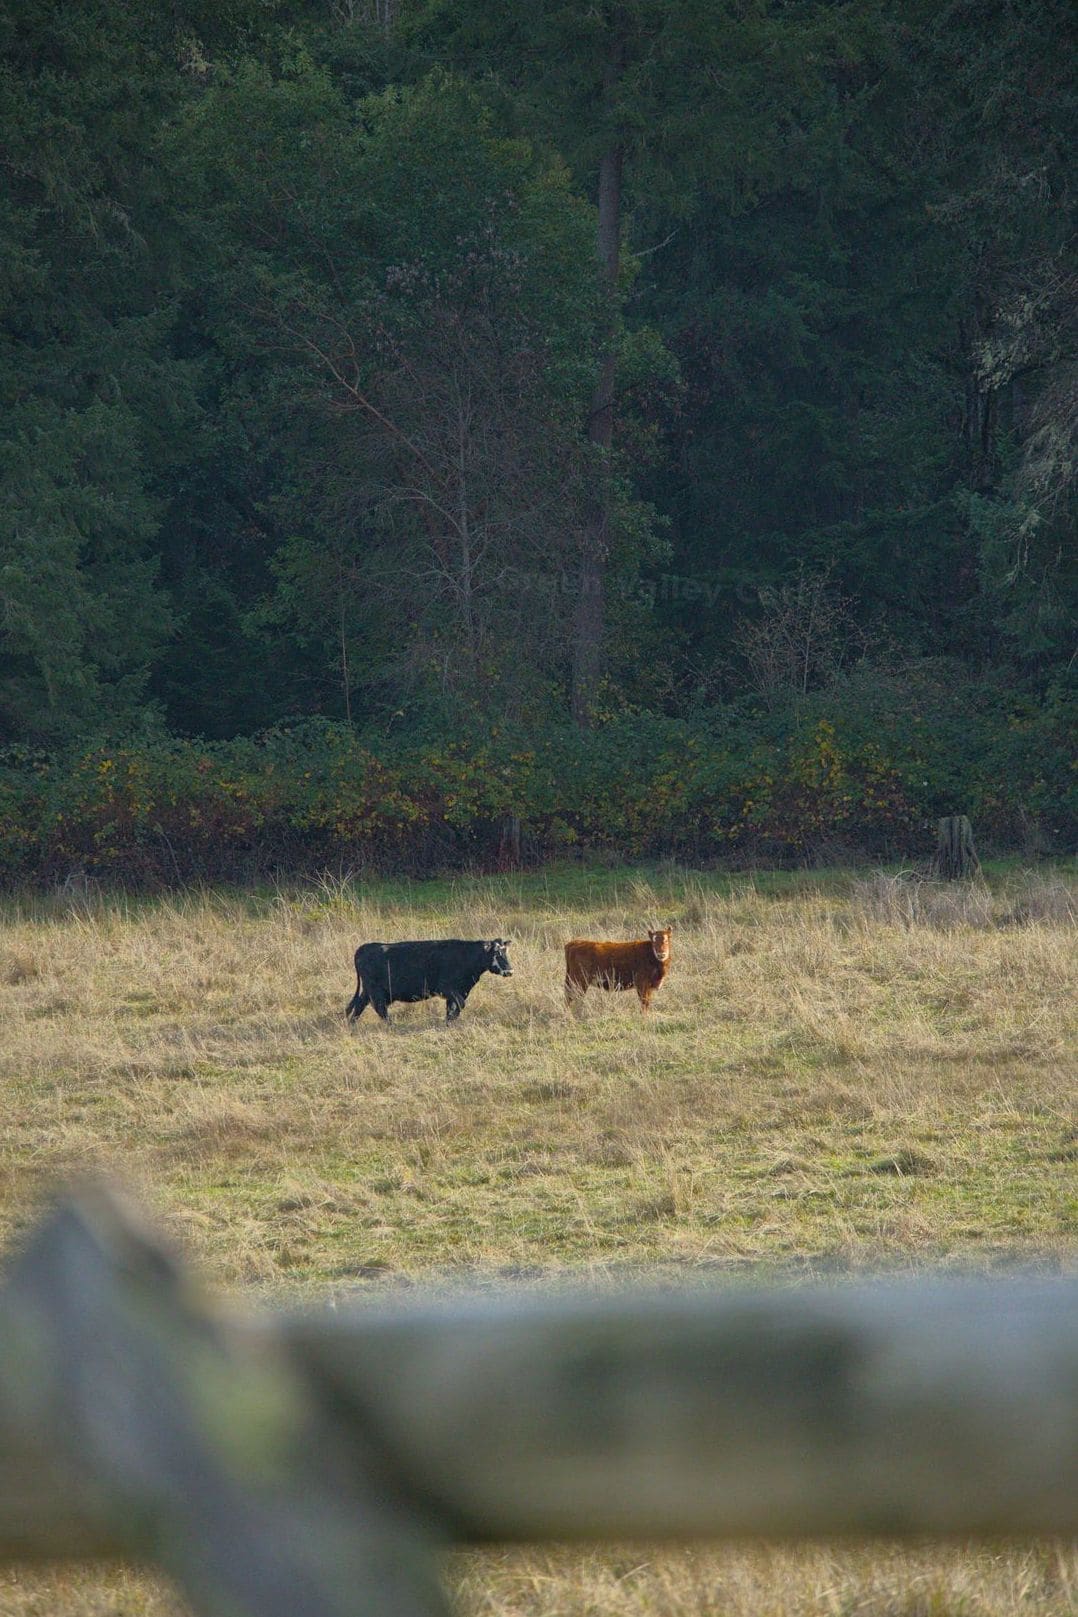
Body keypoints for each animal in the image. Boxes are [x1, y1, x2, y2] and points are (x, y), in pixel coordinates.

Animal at [346, 938, 513, 1024]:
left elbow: (452, 1008)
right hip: (376, 991)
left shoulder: (459, 991)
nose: (510, 971)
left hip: (368, 991)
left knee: (359, 1005)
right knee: (380, 1009)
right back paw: (392, 1025)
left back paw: (352, 1024)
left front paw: (449, 1022)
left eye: (505, 952)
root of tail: (365, 947)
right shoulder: (447, 988)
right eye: (496, 954)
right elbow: (459, 1004)